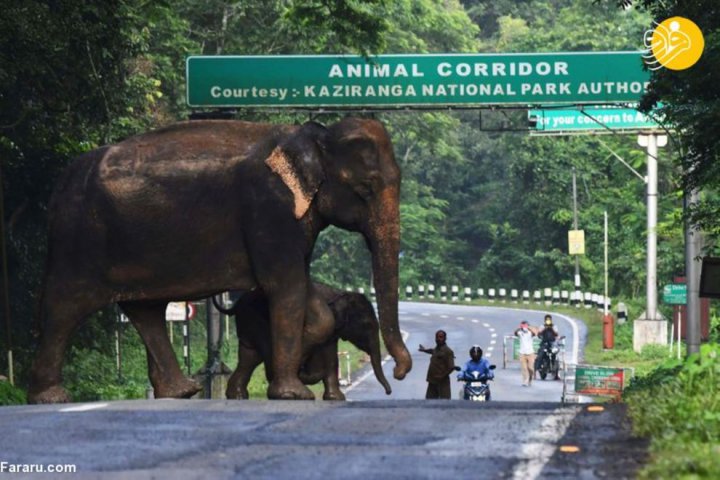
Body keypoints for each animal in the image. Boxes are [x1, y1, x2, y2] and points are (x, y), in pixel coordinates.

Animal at [217, 284, 390, 400]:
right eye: (367, 325)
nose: (388, 392)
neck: (340, 293)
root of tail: (236, 305)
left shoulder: (331, 330)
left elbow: (331, 358)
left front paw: (336, 398)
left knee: (249, 357)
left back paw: (237, 396)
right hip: (257, 320)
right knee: (261, 351)